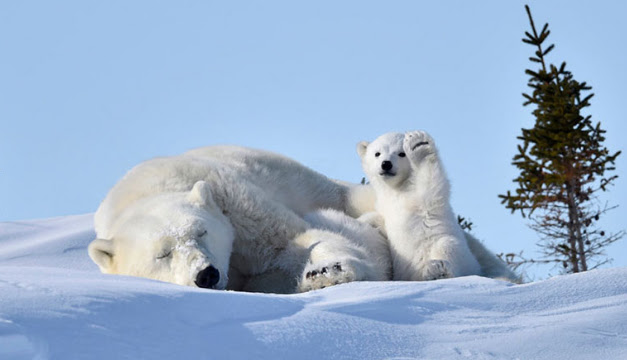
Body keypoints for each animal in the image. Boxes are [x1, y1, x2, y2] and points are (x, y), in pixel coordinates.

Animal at [86, 145, 388, 294]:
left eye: (202, 231)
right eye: (162, 254)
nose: (206, 274)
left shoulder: (233, 202)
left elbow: (292, 240)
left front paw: (329, 271)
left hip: (315, 185)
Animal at [358, 131, 520, 282]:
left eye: (401, 153)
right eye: (377, 153)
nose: (386, 164)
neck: (398, 189)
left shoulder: (422, 199)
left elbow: (431, 185)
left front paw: (419, 145)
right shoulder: (385, 206)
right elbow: (378, 219)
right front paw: (362, 222)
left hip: (458, 254)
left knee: (448, 247)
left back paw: (437, 270)